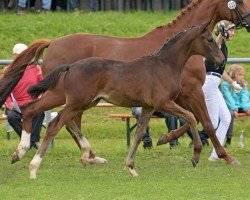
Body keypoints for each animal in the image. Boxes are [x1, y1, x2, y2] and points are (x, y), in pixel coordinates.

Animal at [0, 0, 250, 165]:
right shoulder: (190, 91)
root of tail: (52, 43)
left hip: (77, 98)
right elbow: (204, 121)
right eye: (239, 1)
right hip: (68, 96)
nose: (248, 22)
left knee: (66, 120)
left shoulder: (177, 96)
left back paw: (90, 156)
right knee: (58, 118)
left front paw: (165, 138)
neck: (173, 55)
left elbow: (194, 121)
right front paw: (226, 157)